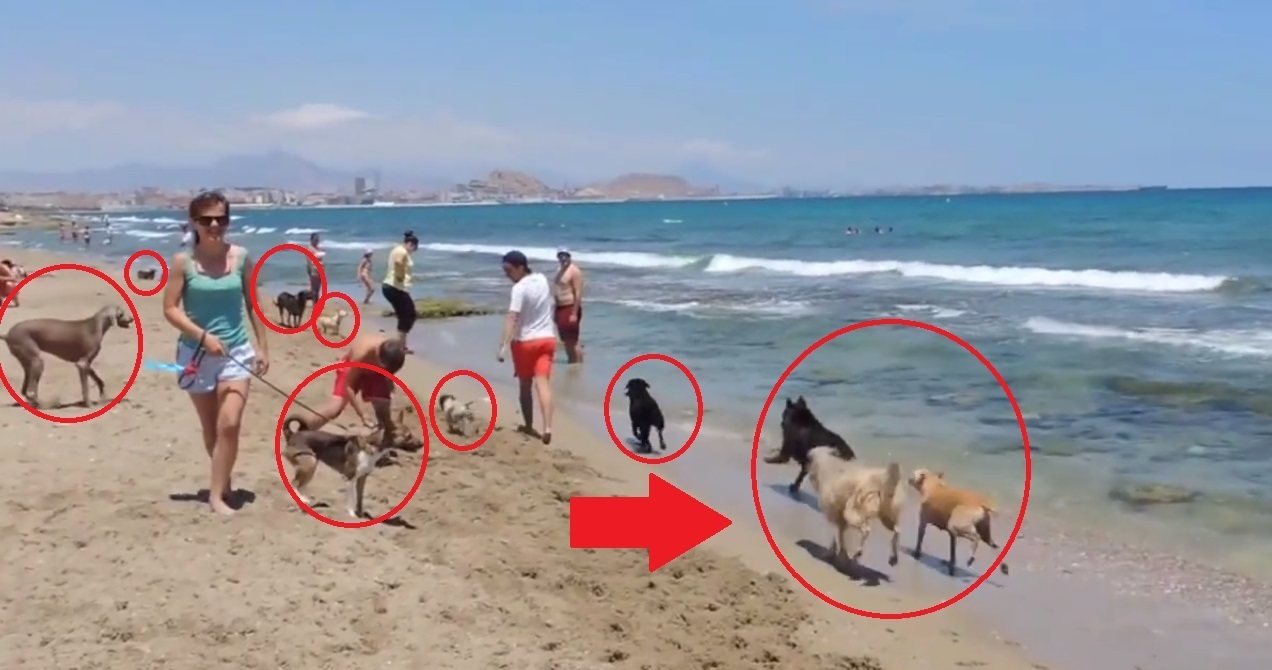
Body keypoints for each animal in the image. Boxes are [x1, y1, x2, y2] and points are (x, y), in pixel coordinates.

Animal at [0, 305, 134, 409]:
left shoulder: (86, 364)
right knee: (30, 392)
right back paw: (47, 405)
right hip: (37, 361)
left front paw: (102, 394)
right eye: (121, 313)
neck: (96, 325)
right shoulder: (81, 364)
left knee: (25, 390)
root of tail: (7, 334)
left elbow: (99, 379)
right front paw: (88, 404)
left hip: (28, 364)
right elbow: (85, 388)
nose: (132, 318)